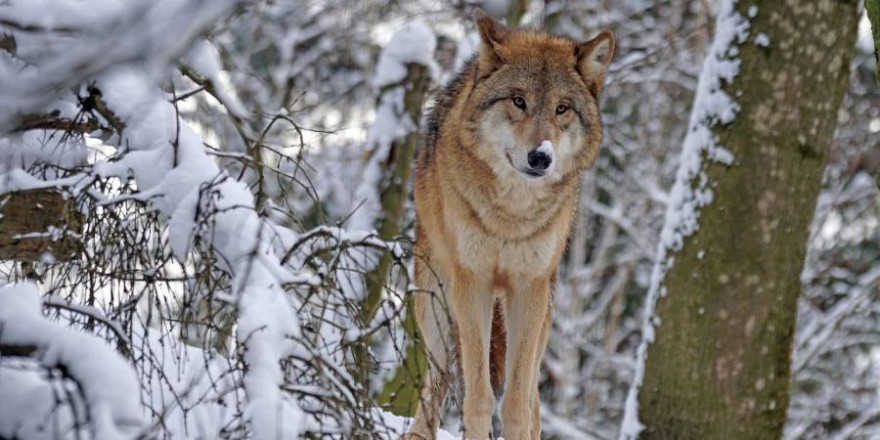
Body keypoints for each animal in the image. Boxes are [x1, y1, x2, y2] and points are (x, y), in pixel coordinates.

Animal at [402, 9, 616, 440]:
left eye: (562, 109)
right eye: (519, 101)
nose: (540, 157)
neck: (511, 216)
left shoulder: (527, 288)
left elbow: (517, 402)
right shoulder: (474, 283)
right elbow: (478, 395)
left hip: (543, 315)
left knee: (533, 399)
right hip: (433, 304)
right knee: (438, 381)